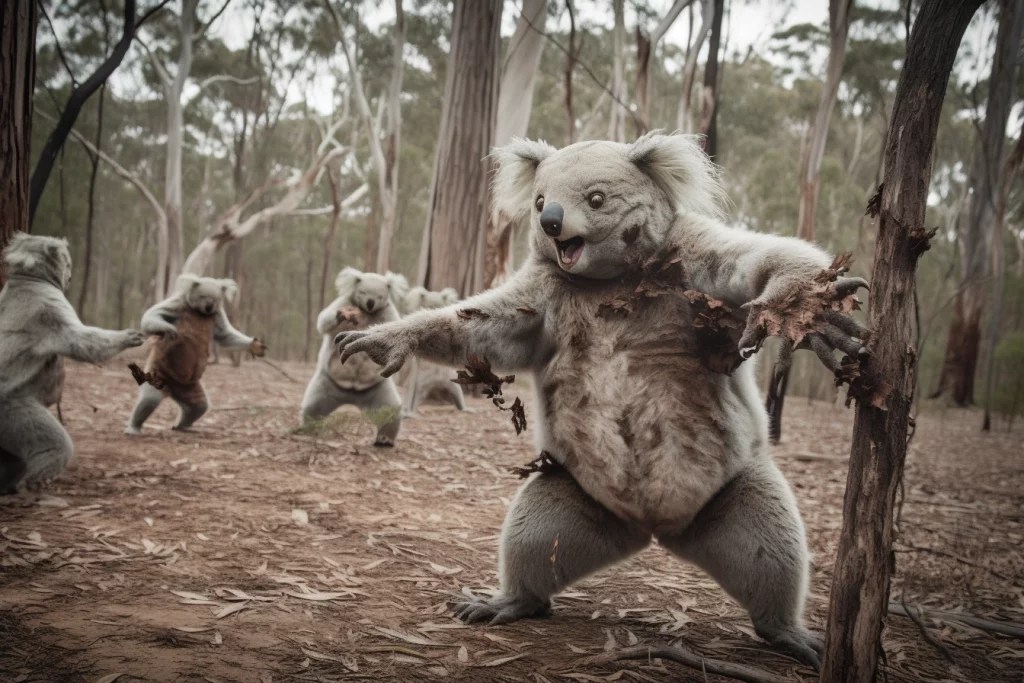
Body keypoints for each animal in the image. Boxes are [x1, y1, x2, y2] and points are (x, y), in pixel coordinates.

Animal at [0, 233, 145, 492]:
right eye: (67, 262)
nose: (69, 275)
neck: (30, 279)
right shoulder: (52, 313)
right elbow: (82, 341)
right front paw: (130, 336)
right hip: (12, 413)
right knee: (54, 445)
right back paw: (34, 482)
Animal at [125, 274, 265, 433]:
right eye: (203, 297)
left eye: (215, 299)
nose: (209, 307)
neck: (201, 313)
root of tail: (173, 389)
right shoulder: (178, 305)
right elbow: (151, 315)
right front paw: (170, 330)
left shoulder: (217, 316)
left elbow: (225, 335)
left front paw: (255, 346)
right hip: (157, 375)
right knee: (150, 400)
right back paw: (133, 428)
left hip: (191, 389)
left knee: (198, 406)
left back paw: (183, 426)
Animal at [300, 268, 407, 446]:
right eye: (363, 292)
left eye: (380, 296)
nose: (370, 303)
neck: (366, 313)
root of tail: (351, 395)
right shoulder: (344, 301)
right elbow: (323, 321)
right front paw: (344, 314)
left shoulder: (387, 313)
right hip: (326, 384)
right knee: (313, 409)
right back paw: (309, 429)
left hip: (378, 392)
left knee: (390, 413)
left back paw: (384, 440)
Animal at [333, 132, 869, 668]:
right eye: (539, 201)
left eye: (595, 198)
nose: (551, 223)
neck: (609, 282)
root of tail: (655, 527)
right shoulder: (537, 302)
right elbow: (474, 328)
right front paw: (381, 340)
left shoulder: (697, 258)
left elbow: (758, 262)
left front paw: (814, 315)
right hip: (565, 498)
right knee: (533, 547)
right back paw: (503, 603)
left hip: (741, 492)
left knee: (774, 558)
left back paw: (791, 635)